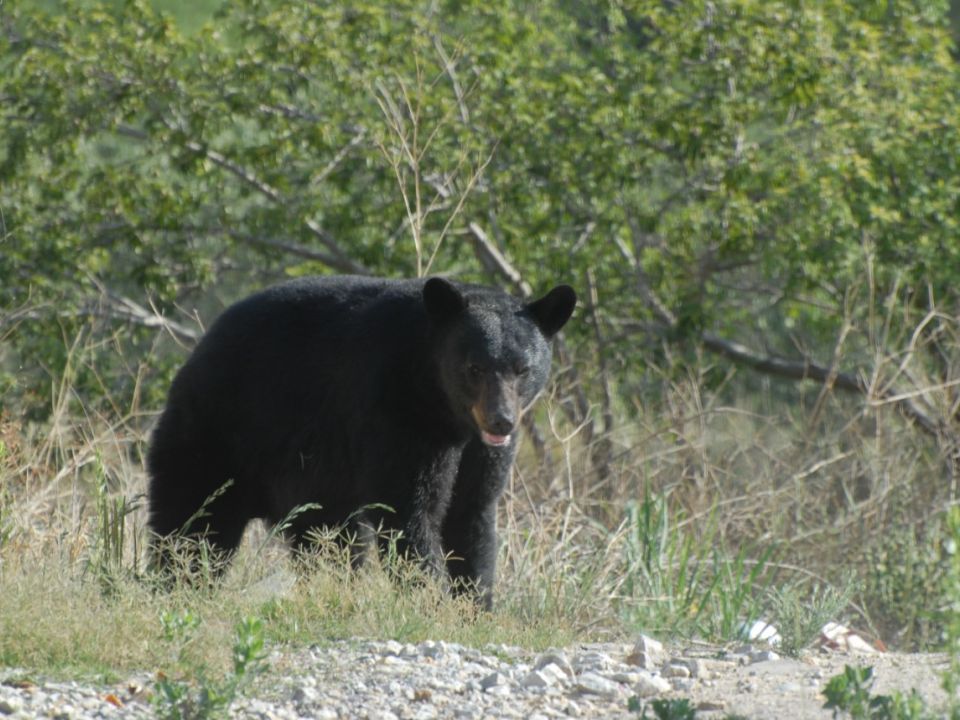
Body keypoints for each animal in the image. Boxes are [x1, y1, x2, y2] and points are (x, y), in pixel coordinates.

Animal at [146, 275, 576, 607]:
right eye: (474, 367)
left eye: (523, 368)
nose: (502, 420)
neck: (443, 405)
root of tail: (198, 351)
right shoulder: (395, 411)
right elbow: (409, 510)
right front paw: (430, 600)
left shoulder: (478, 450)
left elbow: (471, 513)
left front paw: (474, 604)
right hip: (217, 436)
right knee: (193, 523)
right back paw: (176, 587)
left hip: (313, 484)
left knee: (328, 540)